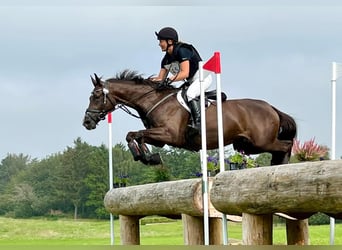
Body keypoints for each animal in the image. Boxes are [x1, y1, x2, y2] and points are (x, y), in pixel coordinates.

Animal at [81, 69, 296, 166]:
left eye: (96, 96)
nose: (87, 122)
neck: (153, 100)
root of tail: (271, 107)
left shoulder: (169, 134)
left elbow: (135, 134)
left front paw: (146, 156)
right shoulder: (159, 137)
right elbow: (135, 135)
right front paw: (147, 156)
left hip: (261, 141)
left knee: (285, 145)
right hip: (246, 145)